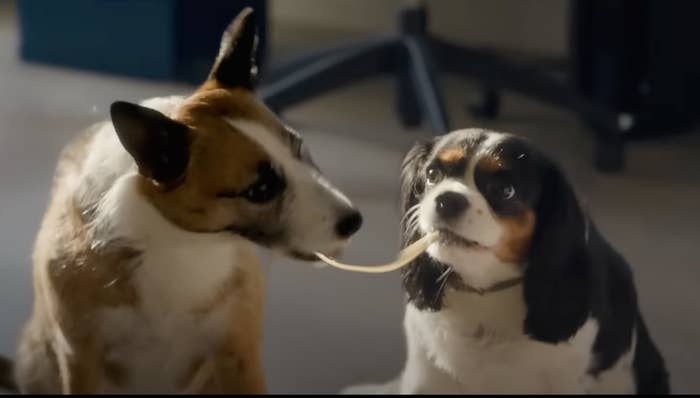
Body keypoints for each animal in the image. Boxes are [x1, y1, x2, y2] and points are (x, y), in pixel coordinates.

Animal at [6, 9, 360, 394]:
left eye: (299, 148)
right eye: (261, 189)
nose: (355, 221)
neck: (180, 243)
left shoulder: (240, 353)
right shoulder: (79, 358)